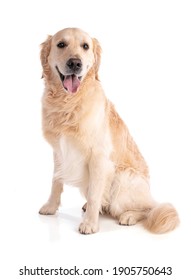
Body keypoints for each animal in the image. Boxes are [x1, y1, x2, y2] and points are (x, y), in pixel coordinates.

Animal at [38, 27, 179, 234]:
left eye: (85, 46)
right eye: (61, 44)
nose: (75, 63)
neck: (68, 103)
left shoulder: (98, 156)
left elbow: (95, 193)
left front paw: (89, 223)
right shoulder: (59, 151)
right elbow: (56, 181)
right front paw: (50, 206)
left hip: (123, 178)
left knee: (150, 209)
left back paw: (128, 215)